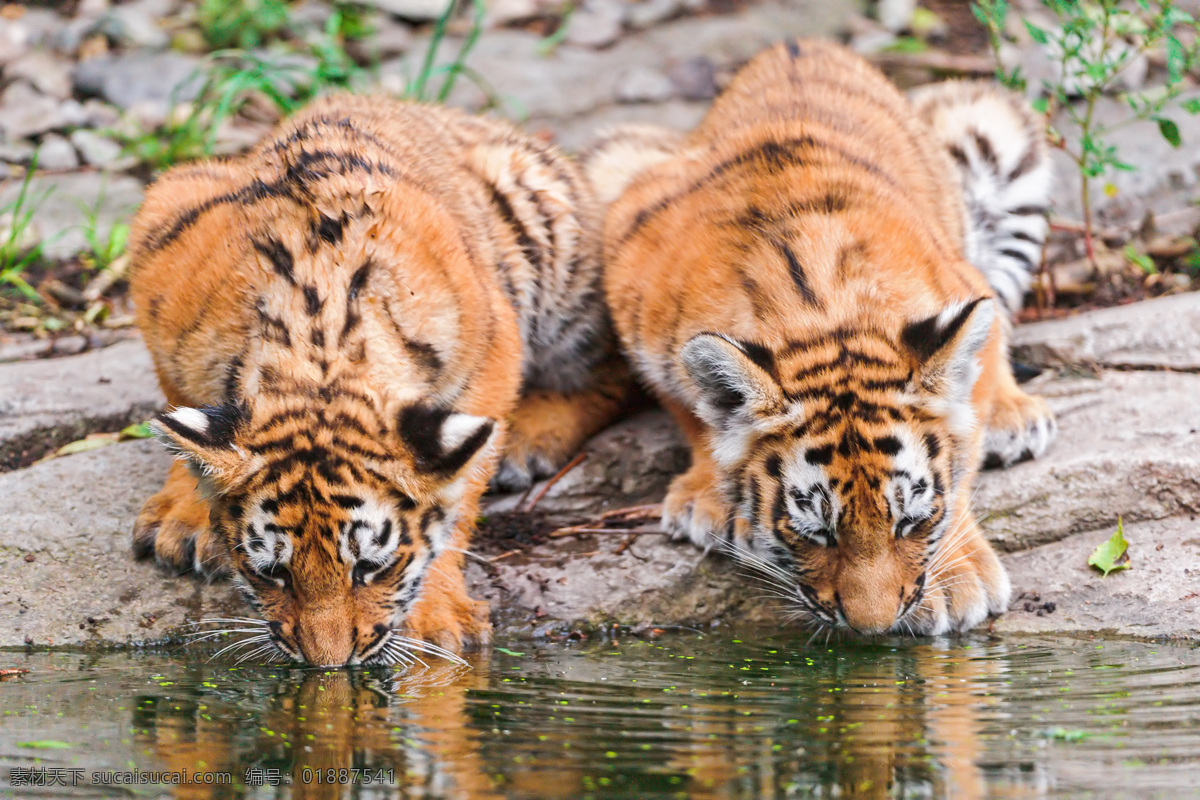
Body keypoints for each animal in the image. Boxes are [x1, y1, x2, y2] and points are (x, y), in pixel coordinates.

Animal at [127, 94, 633, 666]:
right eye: (274, 573)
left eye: (371, 569)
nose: (328, 665)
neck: (319, 353)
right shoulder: (163, 240)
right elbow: (180, 408)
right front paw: (187, 510)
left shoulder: (493, 347)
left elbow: (458, 497)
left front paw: (438, 615)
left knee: (615, 371)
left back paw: (530, 439)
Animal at [595, 38, 1056, 638]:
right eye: (815, 532)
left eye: (911, 521)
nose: (872, 628)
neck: (821, 316)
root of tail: (797, 43)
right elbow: (687, 406)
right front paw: (709, 498)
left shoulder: (963, 282)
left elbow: (965, 435)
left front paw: (958, 577)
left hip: (989, 128)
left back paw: (1013, 418)